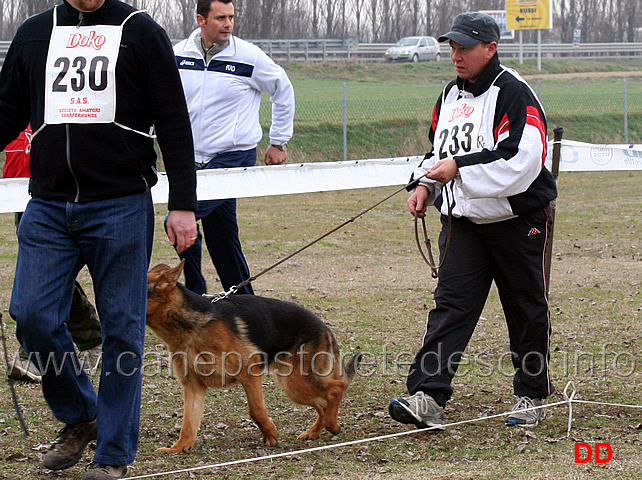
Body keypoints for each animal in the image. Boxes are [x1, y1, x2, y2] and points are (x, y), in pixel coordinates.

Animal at [147, 260, 362, 452]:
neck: (194, 328)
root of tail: (323, 327)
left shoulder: (249, 373)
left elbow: (256, 410)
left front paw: (270, 434)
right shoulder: (193, 386)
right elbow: (188, 423)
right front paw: (179, 447)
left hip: (296, 381)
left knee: (336, 388)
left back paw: (332, 425)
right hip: (293, 384)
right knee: (322, 403)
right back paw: (316, 431)